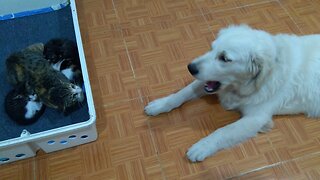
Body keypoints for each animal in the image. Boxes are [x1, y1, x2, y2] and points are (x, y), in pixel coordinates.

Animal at [146, 24, 320, 162]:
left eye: (224, 58)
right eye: (212, 48)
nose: (190, 67)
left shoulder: (255, 118)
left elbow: (223, 131)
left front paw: (202, 146)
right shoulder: (209, 82)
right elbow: (182, 92)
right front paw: (161, 104)